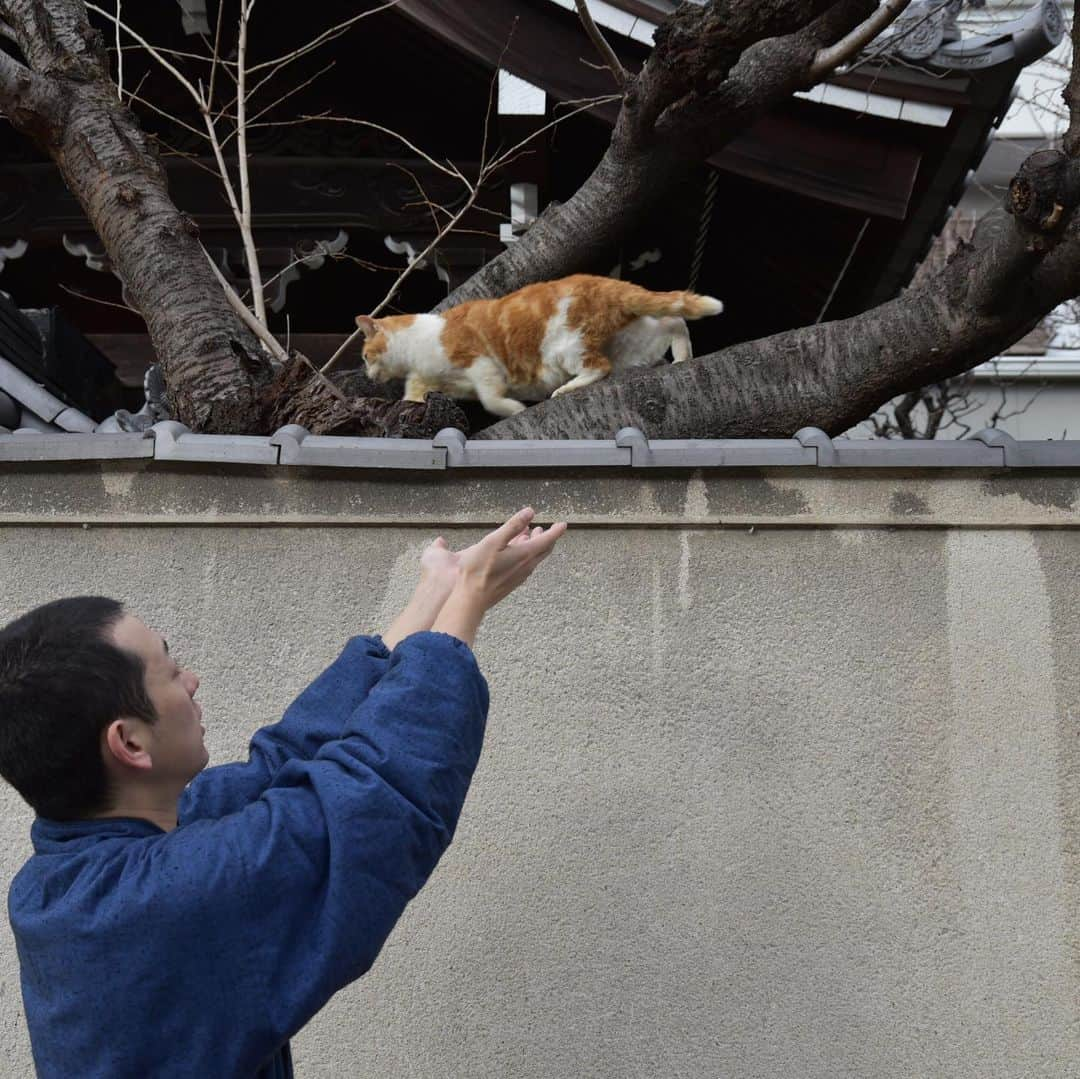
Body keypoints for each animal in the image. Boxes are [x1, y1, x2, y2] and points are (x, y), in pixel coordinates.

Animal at [358, 274, 721, 416]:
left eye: (364, 356)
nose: (366, 374)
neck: (421, 339)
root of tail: (604, 282)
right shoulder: (430, 379)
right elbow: (414, 392)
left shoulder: (481, 364)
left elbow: (491, 400)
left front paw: (515, 409)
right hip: (632, 343)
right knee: (674, 322)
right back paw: (682, 358)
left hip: (569, 347)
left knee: (597, 368)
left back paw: (564, 389)